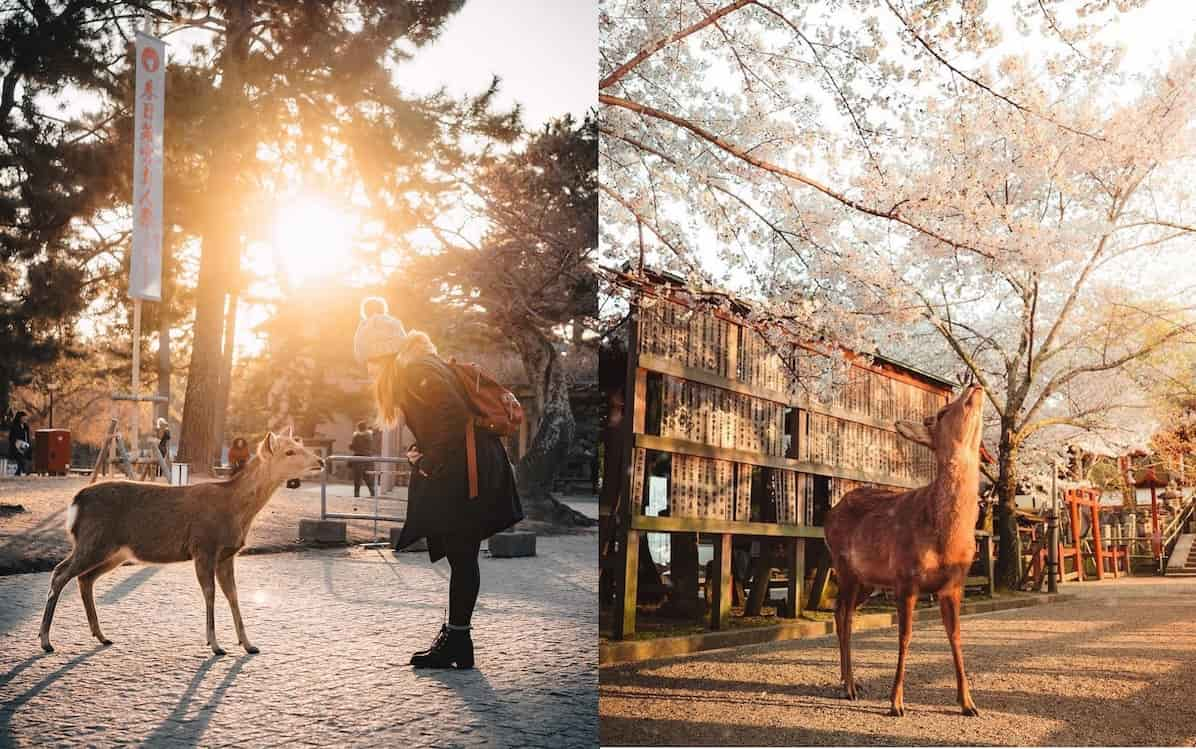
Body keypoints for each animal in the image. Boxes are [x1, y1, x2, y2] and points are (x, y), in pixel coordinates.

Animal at [40, 425, 322, 650]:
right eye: (289, 452)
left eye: (300, 444)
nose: (320, 460)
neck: (236, 510)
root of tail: (76, 502)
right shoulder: (203, 546)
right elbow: (210, 593)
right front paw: (215, 644)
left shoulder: (227, 554)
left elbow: (233, 594)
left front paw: (248, 644)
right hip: (93, 540)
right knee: (60, 572)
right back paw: (45, 640)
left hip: (114, 551)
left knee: (84, 578)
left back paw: (101, 635)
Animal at [827, 382, 985, 713]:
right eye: (942, 412)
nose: (974, 385)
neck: (944, 539)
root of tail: (829, 513)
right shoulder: (905, 577)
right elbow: (905, 636)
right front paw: (896, 702)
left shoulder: (954, 584)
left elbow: (956, 636)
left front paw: (968, 703)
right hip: (843, 566)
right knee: (844, 615)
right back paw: (849, 686)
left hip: (867, 581)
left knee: (840, 612)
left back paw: (849, 680)